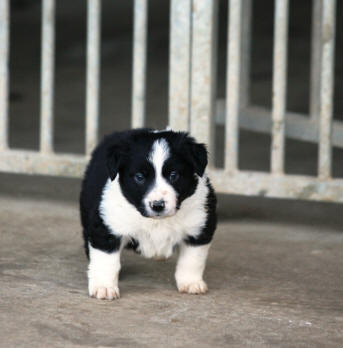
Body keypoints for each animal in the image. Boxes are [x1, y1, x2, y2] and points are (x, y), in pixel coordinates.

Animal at [80, 128, 218, 300]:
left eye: (174, 175)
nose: (157, 205)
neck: (157, 221)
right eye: (140, 177)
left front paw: (191, 283)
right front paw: (104, 287)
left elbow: (192, 260)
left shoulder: (199, 226)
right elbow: (106, 260)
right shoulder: (108, 225)